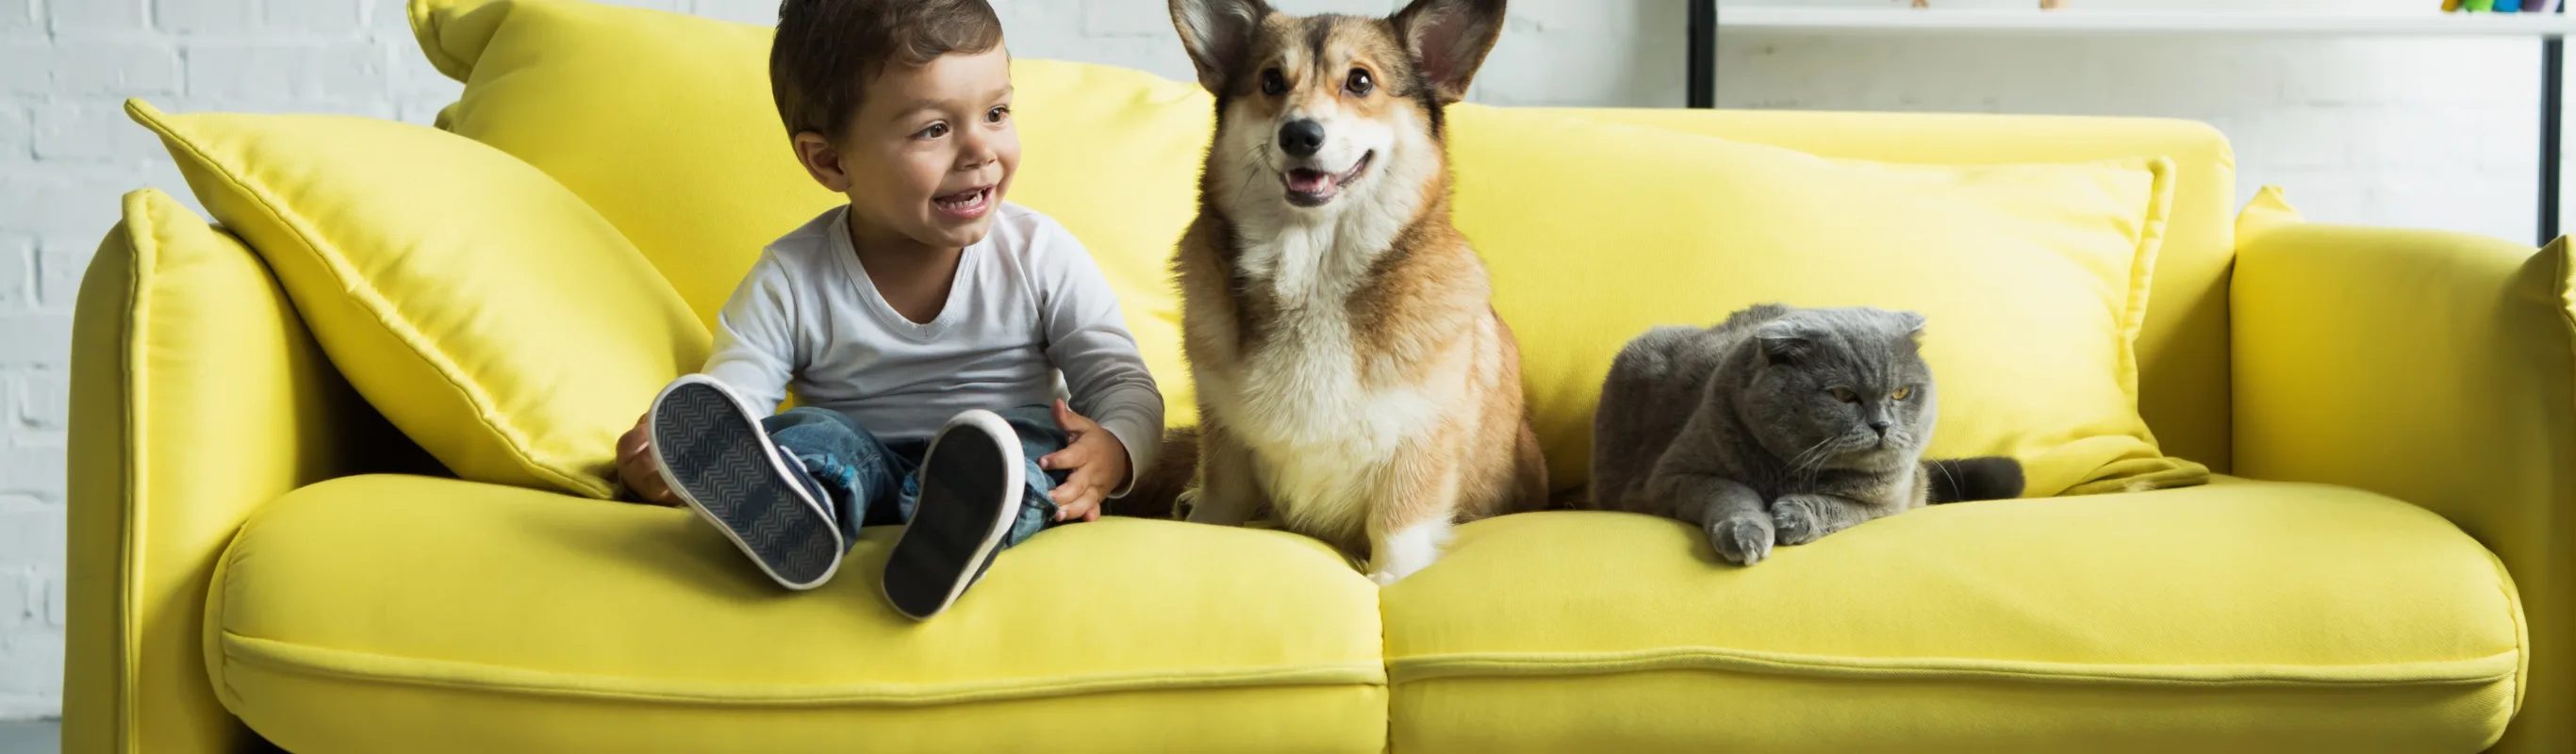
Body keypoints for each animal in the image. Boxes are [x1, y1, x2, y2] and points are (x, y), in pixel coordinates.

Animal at [1169, 0, 1545, 582]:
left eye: (1360, 81)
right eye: (1271, 81)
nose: (1300, 135)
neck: (1314, 273)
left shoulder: (1420, 443)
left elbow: (1397, 527)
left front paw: (1390, 581)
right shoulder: (1223, 440)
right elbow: (1218, 505)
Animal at [1576, 302, 2019, 561]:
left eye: (1900, 392)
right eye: (1843, 395)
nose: (1881, 425)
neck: (1793, 470)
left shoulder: (1892, 500)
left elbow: (1842, 507)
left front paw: (1793, 516)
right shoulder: (1674, 477)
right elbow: (1731, 492)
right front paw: (1746, 535)